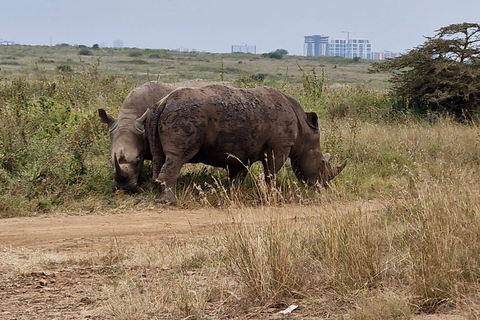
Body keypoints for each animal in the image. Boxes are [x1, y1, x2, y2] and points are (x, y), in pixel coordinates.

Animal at [145, 84, 344, 205]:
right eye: (322, 162)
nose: (323, 187)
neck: (304, 131)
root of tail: (164, 102)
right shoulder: (280, 147)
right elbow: (271, 173)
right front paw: (272, 196)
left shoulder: (242, 150)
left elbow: (237, 176)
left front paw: (232, 196)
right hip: (185, 115)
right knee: (177, 157)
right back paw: (169, 201)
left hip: (161, 114)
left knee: (159, 156)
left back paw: (157, 193)